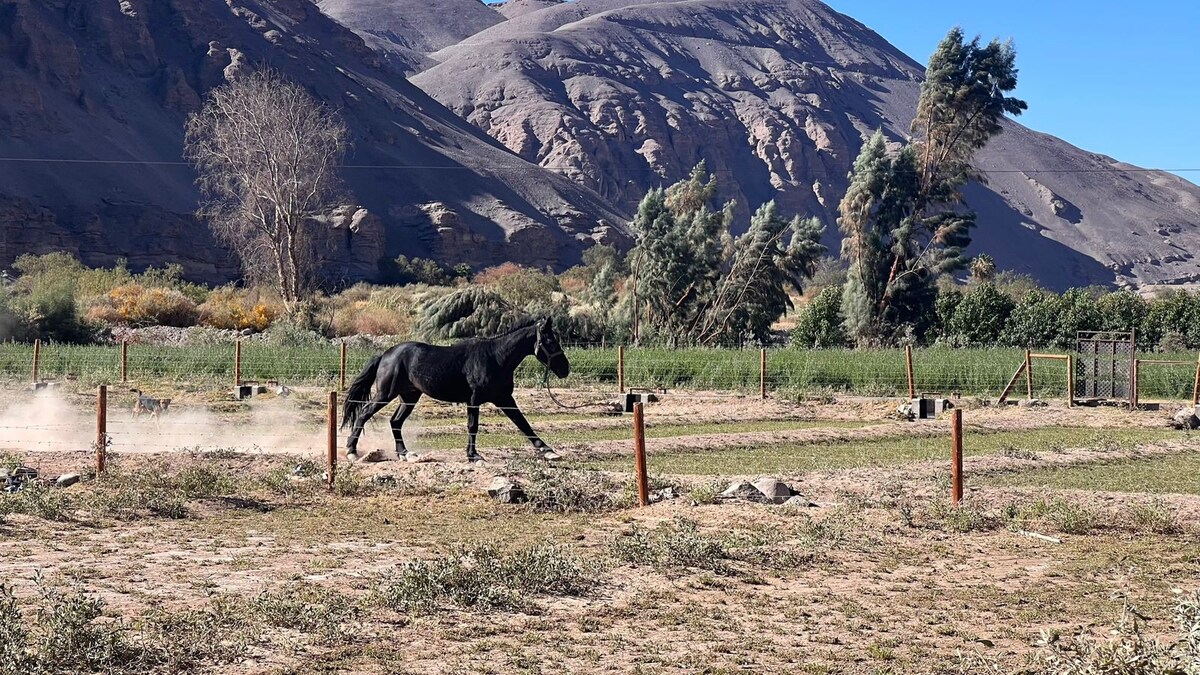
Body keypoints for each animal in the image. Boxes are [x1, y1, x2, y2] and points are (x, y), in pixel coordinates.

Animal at [343, 317, 571, 458]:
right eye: (550, 341)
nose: (565, 369)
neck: (496, 358)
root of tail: (386, 354)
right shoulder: (474, 399)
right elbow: (473, 426)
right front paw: (473, 456)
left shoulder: (504, 398)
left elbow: (522, 423)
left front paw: (548, 450)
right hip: (385, 394)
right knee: (364, 413)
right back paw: (352, 451)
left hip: (409, 397)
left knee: (395, 421)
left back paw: (405, 454)